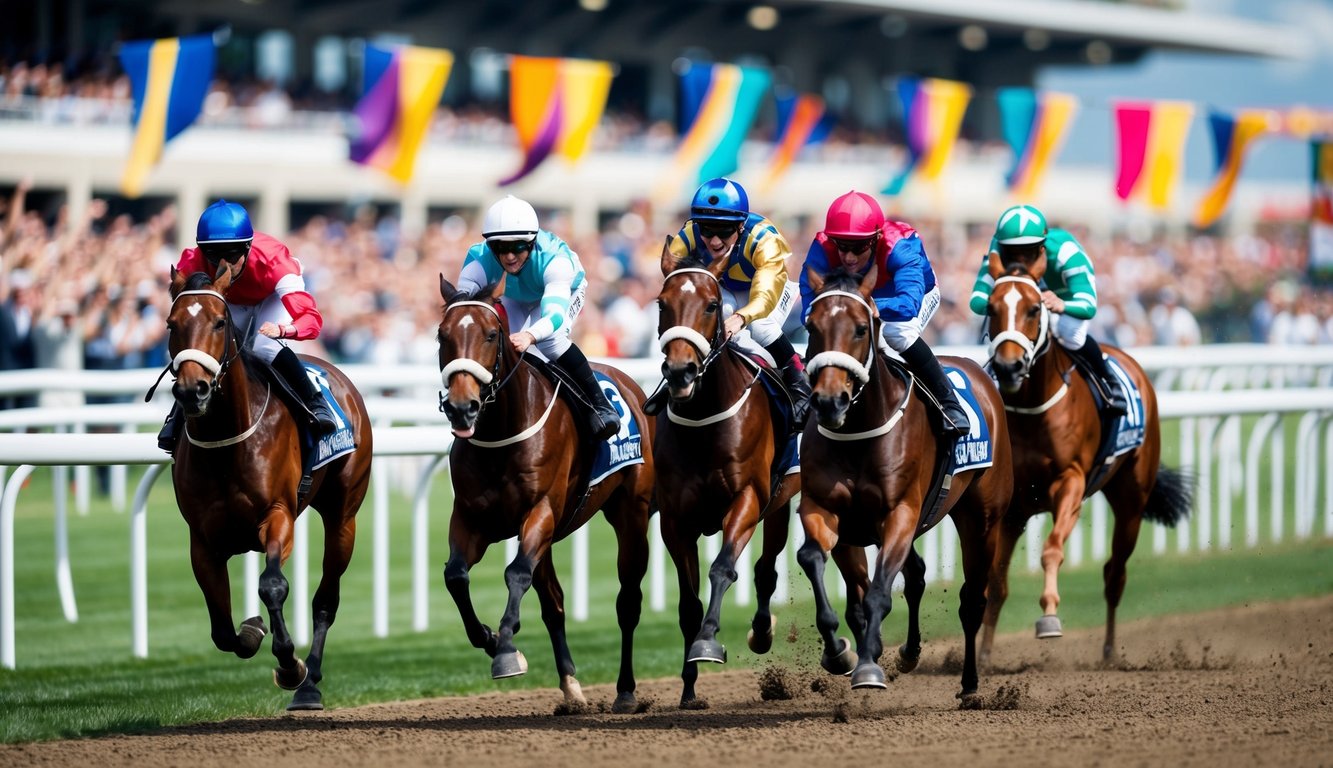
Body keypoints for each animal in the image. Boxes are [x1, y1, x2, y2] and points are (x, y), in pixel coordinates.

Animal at [167, 264, 375, 709]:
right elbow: (222, 629)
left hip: (343, 516)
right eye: (172, 324)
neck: (227, 440)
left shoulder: (277, 516)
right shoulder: (202, 541)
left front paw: (290, 665)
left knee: (326, 600)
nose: (192, 390)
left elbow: (273, 585)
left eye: (220, 321)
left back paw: (310, 685)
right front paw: (252, 629)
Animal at [437, 276, 655, 714]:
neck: (500, 433)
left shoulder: (540, 512)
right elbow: (456, 576)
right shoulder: (471, 519)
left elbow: (516, 573)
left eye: (491, 334)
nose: (462, 408)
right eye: (441, 335)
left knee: (628, 602)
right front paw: (490, 639)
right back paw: (571, 687)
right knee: (554, 603)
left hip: (631, 513)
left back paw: (625, 690)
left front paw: (506, 648)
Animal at [653, 250, 794, 709]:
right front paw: (688, 687)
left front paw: (709, 642)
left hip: (780, 502)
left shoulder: (747, 500)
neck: (704, 420)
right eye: (662, 305)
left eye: (712, 306)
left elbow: (722, 570)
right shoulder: (675, 520)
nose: (681, 372)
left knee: (766, 571)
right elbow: (688, 603)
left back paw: (764, 633)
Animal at [789, 266, 1007, 698]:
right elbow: (813, 560)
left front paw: (869, 667)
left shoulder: (900, 514)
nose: (829, 401)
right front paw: (839, 652)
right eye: (811, 326)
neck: (859, 431)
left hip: (982, 517)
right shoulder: (826, 511)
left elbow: (878, 594)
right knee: (918, 575)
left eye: (861, 328)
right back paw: (908, 652)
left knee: (973, 599)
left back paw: (970, 683)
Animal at [986, 254, 1194, 664]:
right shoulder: (1013, 507)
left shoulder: (1070, 483)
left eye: (1034, 309)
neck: (1033, 408)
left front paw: (1049, 615)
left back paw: (1110, 650)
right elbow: (995, 582)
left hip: (1131, 502)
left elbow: (1052, 550)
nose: (1008, 367)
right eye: (991, 308)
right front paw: (980, 656)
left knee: (1114, 574)